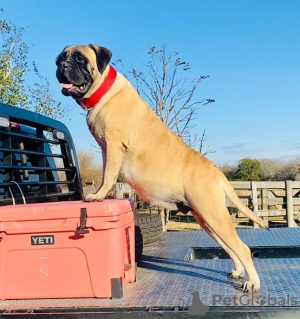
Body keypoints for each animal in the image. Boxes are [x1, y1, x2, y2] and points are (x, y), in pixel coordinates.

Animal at [56, 43, 268, 294]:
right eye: (60, 58)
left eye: (79, 59)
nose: (62, 66)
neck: (105, 90)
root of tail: (216, 172)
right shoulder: (106, 148)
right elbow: (105, 174)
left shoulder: (113, 145)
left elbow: (107, 175)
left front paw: (97, 196)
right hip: (207, 219)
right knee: (230, 247)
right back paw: (237, 271)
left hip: (214, 214)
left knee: (242, 248)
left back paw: (252, 282)